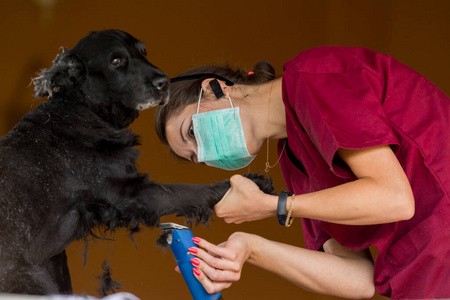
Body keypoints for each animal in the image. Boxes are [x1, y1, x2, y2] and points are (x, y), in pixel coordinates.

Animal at [0, 29, 274, 296]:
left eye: (143, 52)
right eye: (115, 60)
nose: (164, 82)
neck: (79, 110)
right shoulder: (132, 193)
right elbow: (188, 191)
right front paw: (250, 184)